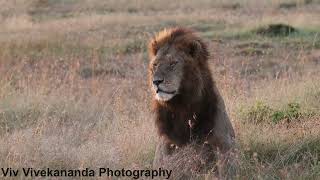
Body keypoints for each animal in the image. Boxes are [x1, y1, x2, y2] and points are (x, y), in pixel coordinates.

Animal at [148, 27, 235, 169]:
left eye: (173, 63)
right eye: (155, 64)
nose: (156, 81)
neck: (182, 104)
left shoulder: (223, 143)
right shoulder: (164, 148)